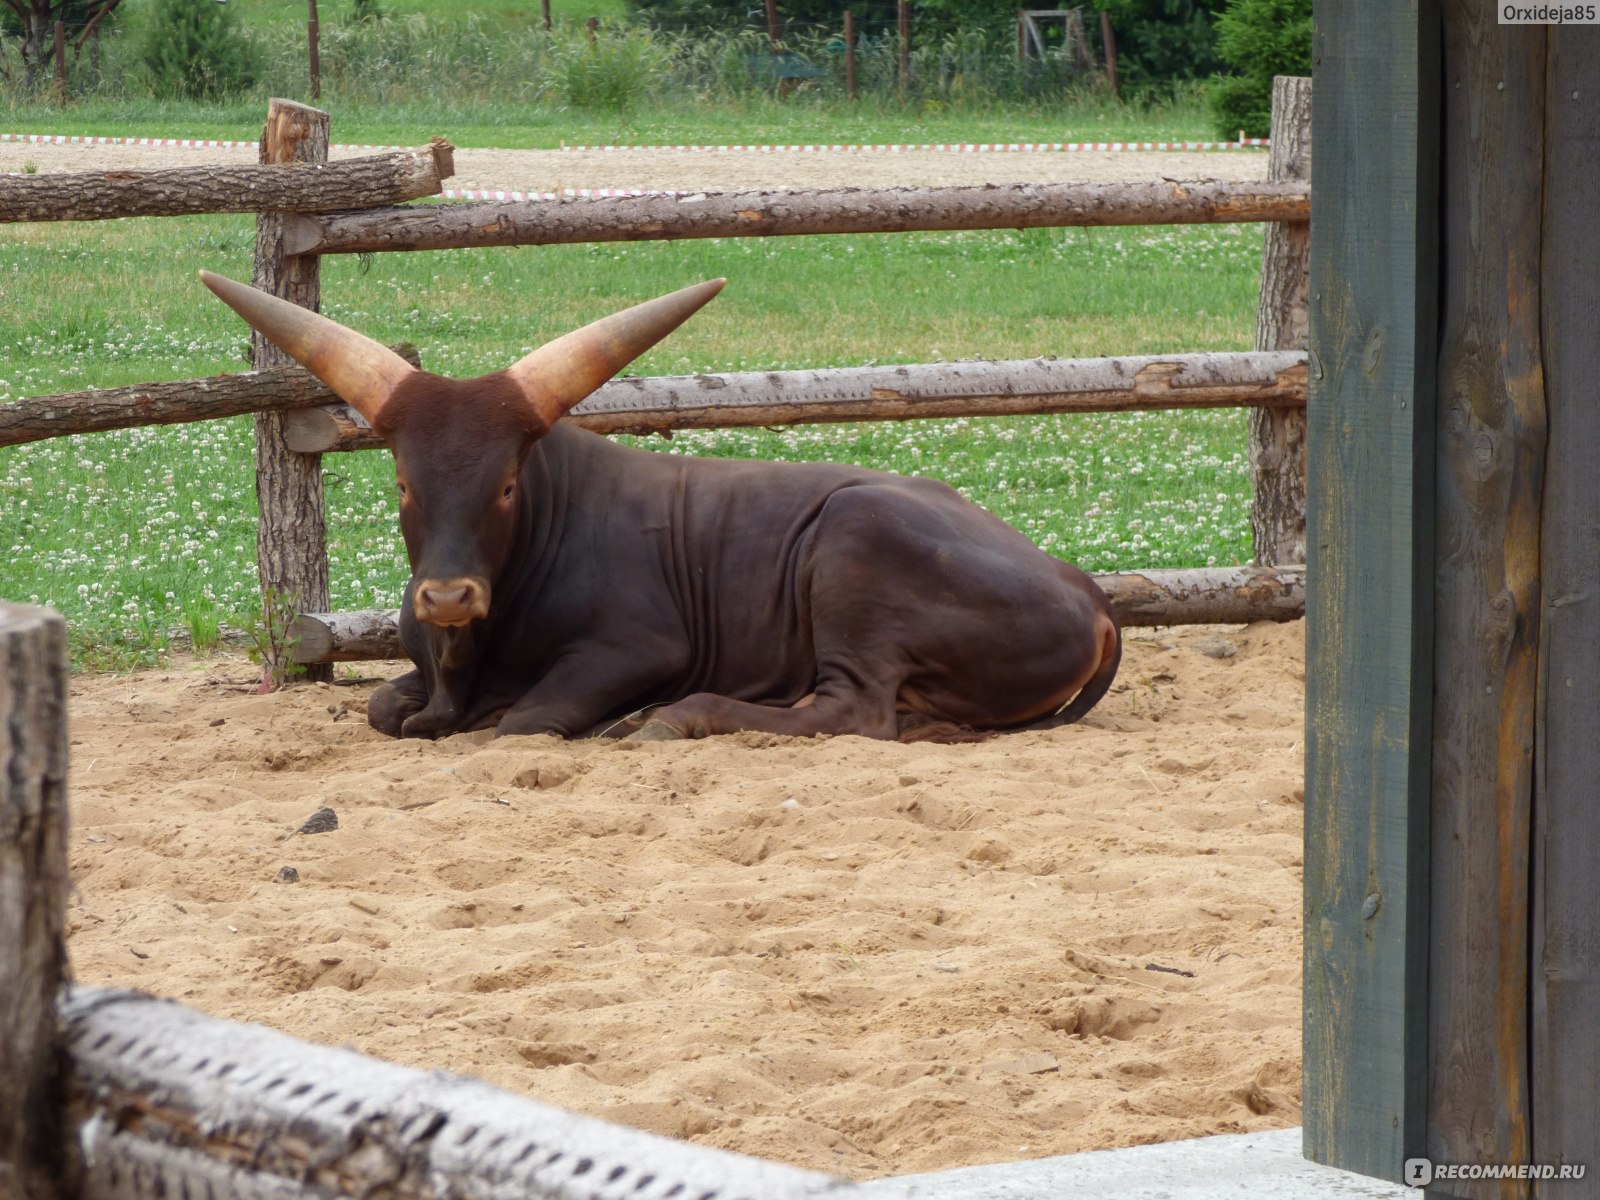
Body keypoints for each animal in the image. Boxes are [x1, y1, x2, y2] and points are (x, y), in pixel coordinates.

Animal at [200, 272, 1120, 742]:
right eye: (402, 481)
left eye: (506, 484)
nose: (448, 596)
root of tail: (1086, 590)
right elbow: (386, 707)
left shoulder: (638, 647)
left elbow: (523, 722)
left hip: (854, 541)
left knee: (853, 710)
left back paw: (671, 717)